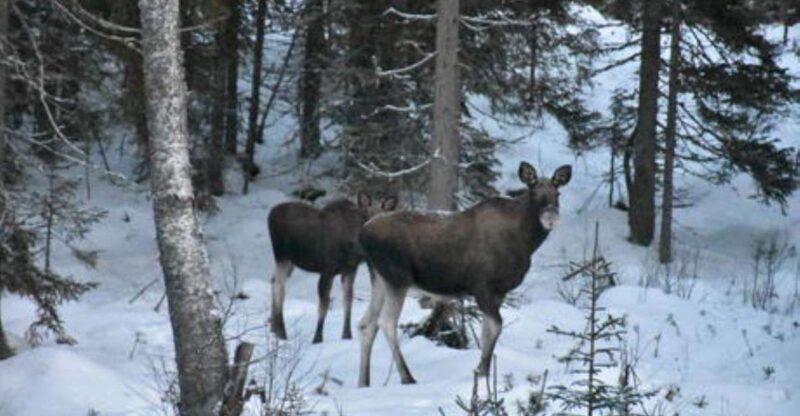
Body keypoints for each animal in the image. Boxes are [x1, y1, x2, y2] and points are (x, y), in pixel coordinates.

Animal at [268, 193, 398, 344]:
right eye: (365, 215)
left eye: (383, 217)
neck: (353, 247)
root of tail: (270, 213)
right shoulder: (327, 269)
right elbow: (324, 305)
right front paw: (317, 338)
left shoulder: (350, 270)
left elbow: (348, 301)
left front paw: (347, 335)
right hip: (282, 255)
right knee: (279, 285)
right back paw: (281, 332)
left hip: (290, 262)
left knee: (273, 280)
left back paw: (273, 328)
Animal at [356, 162, 571, 386]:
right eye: (534, 192)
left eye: (557, 193)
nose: (551, 218)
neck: (525, 242)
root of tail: (362, 234)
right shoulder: (482, 286)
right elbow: (496, 326)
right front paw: (482, 371)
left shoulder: (499, 291)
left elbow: (486, 331)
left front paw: (482, 373)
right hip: (397, 278)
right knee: (386, 322)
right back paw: (407, 377)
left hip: (379, 278)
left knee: (366, 324)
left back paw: (364, 382)